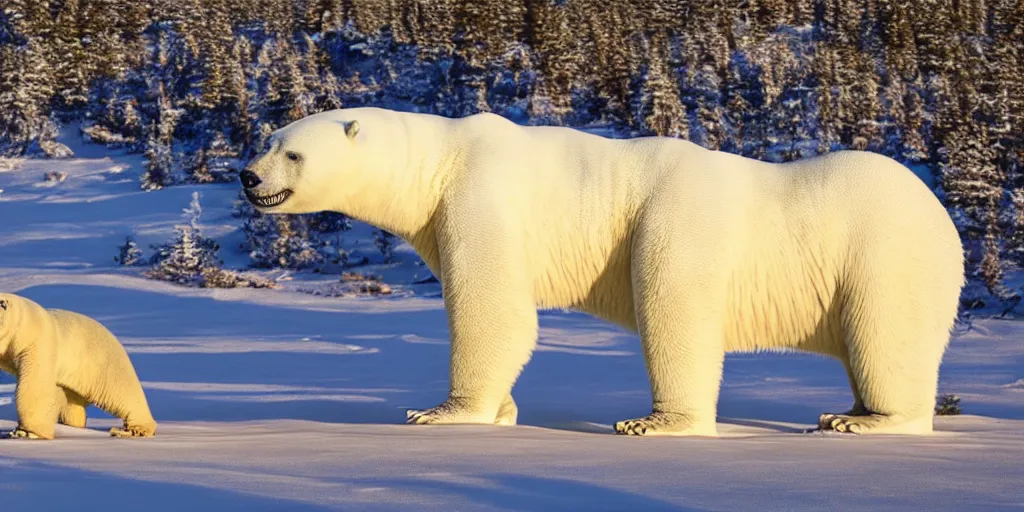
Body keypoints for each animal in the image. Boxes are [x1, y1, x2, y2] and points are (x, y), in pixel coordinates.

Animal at [0, 292, 157, 440]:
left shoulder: (34, 341)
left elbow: (35, 381)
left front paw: (26, 432)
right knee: (69, 404)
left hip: (101, 362)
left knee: (122, 389)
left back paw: (135, 430)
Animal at [241, 108, 966, 436]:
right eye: (268, 138)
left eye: (292, 152)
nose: (248, 177)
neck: (444, 157)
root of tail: (944, 219)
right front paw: (504, 412)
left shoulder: (482, 197)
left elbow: (498, 310)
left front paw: (442, 412)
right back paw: (846, 409)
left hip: (881, 252)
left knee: (885, 336)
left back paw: (863, 421)